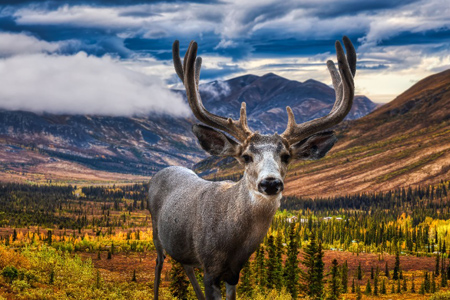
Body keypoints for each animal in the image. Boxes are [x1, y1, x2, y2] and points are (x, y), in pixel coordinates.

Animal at [149, 36, 356, 298]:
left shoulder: (234, 272)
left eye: (286, 156)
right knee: (158, 263)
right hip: (156, 232)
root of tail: (161, 171)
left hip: (183, 248)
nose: (270, 183)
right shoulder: (209, 267)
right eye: (246, 156)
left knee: (185, 266)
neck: (231, 242)